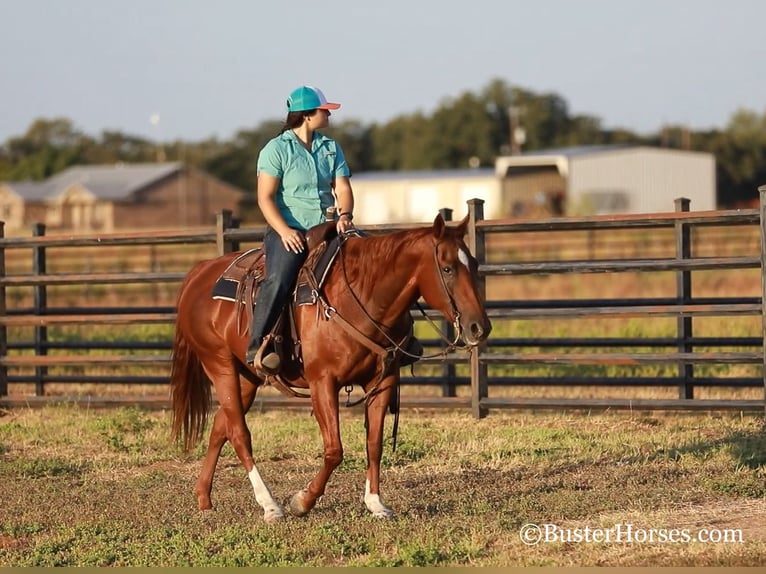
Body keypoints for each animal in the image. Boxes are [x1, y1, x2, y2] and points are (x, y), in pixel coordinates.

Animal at [168, 214, 492, 524]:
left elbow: (374, 444)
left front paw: (375, 503)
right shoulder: (323, 383)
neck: (362, 297)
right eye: (448, 269)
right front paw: (302, 501)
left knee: (220, 427)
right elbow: (334, 450)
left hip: (247, 377)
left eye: (474, 264)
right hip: (219, 365)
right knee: (238, 433)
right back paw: (270, 505)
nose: (480, 327)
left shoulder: (383, 381)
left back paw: (204, 499)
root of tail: (199, 273)